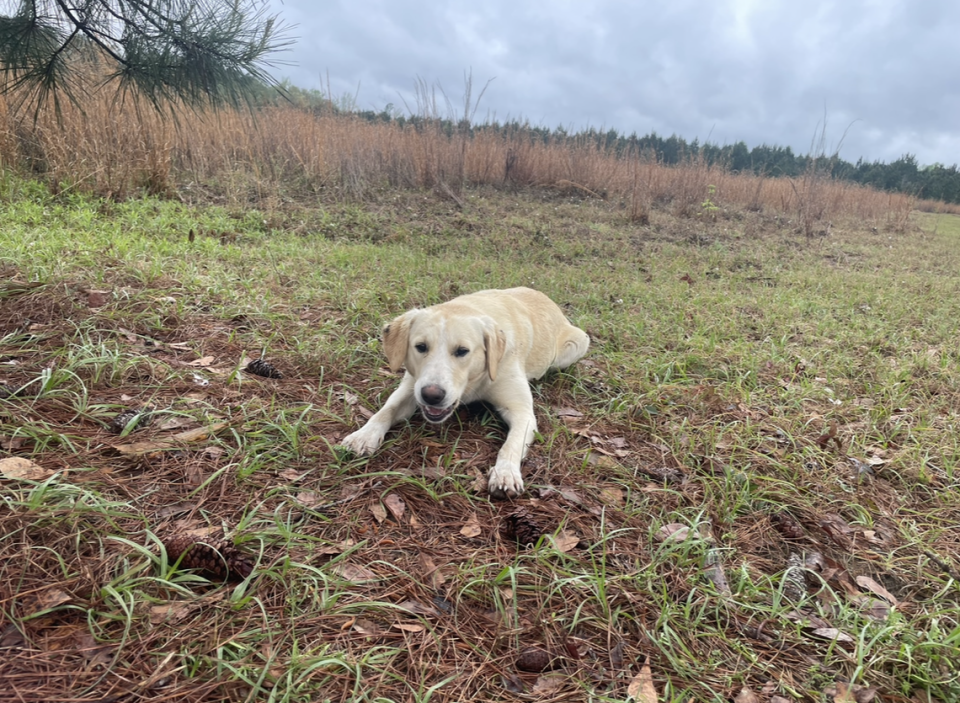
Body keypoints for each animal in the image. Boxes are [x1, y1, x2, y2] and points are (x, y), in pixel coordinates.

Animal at [342, 288, 588, 498]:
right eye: (421, 347)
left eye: (462, 351)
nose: (432, 395)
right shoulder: (412, 386)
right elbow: (386, 410)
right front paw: (363, 435)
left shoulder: (522, 412)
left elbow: (511, 445)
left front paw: (505, 473)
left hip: (578, 343)